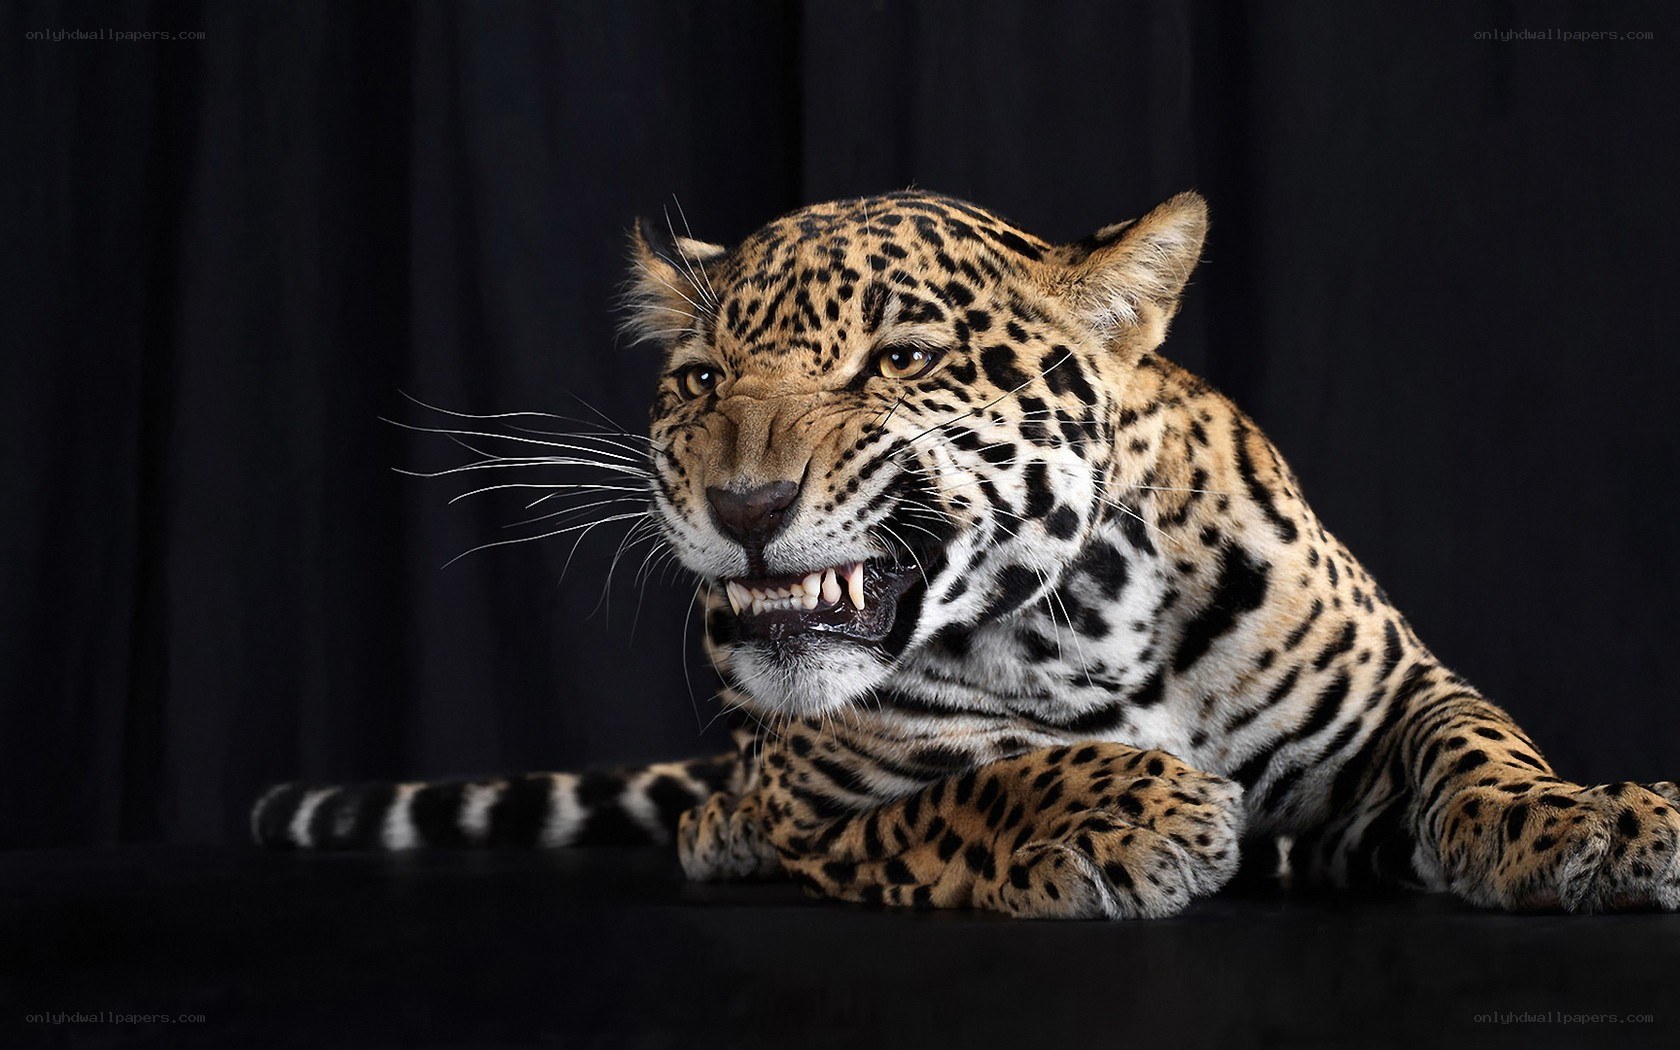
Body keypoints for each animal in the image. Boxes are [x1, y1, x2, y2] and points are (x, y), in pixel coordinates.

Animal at [254, 190, 1680, 918]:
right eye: (704, 378)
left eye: (900, 360)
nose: (745, 504)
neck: (1090, 621)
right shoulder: (826, 807)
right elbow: (992, 785)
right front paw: (1143, 808)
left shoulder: (1392, 695)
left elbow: (1479, 744)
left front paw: (1585, 820)